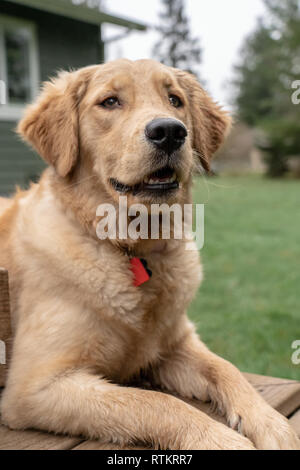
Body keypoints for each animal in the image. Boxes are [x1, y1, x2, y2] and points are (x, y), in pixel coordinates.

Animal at [0, 59, 298, 452]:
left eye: (174, 100)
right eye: (110, 102)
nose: (169, 132)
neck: (131, 251)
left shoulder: (175, 343)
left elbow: (225, 368)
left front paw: (271, 422)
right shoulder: (33, 385)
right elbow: (154, 402)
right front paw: (222, 441)